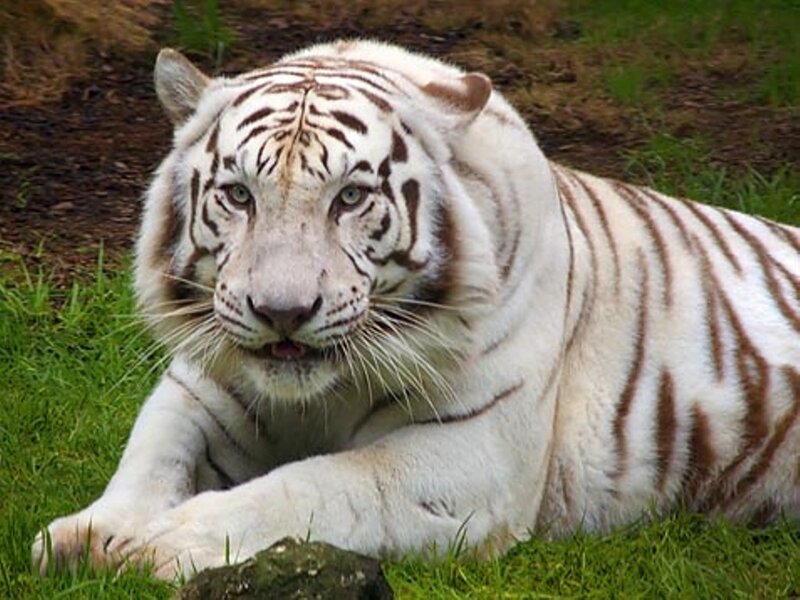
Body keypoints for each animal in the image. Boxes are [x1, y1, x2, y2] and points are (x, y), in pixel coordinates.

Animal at [33, 39, 800, 580]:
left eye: (349, 197)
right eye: (240, 195)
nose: (283, 311)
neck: (320, 397)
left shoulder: (472, 456)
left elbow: (315, 486)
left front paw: (165, 543)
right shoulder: (202, 387)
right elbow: (152, 453)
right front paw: (88, 534)